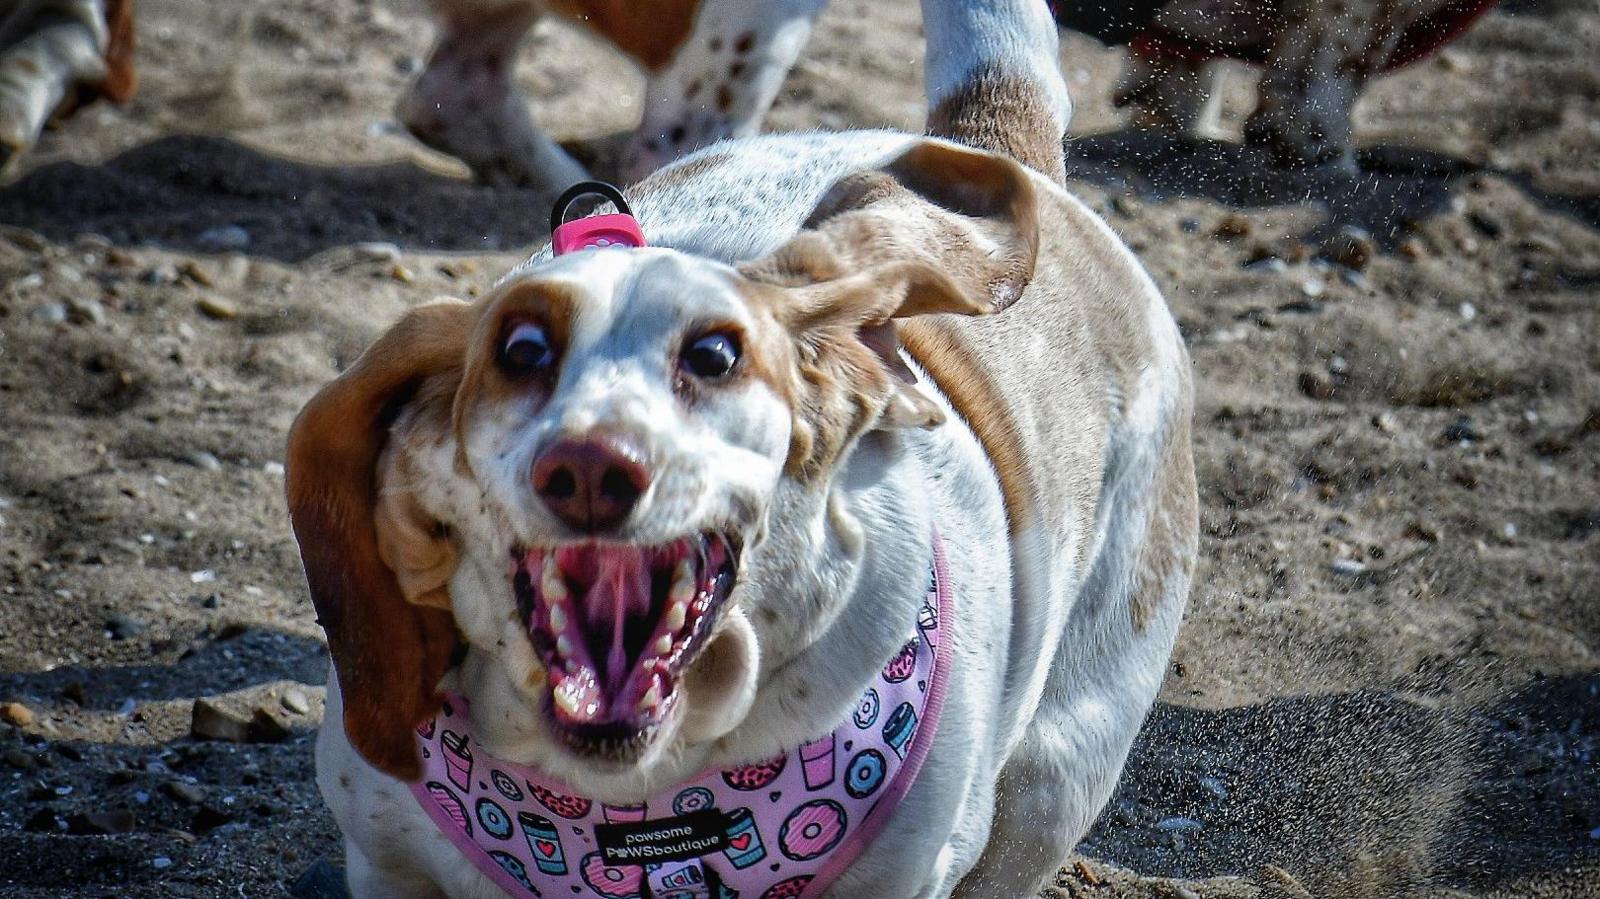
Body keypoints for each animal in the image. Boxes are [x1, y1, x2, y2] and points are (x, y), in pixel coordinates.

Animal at [284, 3, 1190, 889]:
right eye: (522, 350)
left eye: (716, 355)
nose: (591, 467)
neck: (636, 795)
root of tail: (998, 149)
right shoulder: (387, 862)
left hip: (1056, 772)